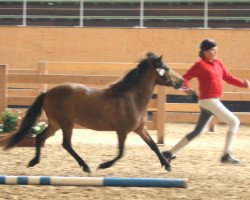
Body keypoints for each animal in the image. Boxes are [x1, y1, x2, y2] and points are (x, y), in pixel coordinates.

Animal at [0, 52, 184, 173]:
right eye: (166, 68)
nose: (181, 81)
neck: (131, 98)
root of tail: (48, 92)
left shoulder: (140, 129)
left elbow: (153, 146)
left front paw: (168, 165)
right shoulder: (122, 130)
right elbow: (121, 152)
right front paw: (103, 165)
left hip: (55, 123)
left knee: (40, 138)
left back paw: (34, 161)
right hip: (66, 123)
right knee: (66, 144)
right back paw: (86, 166)